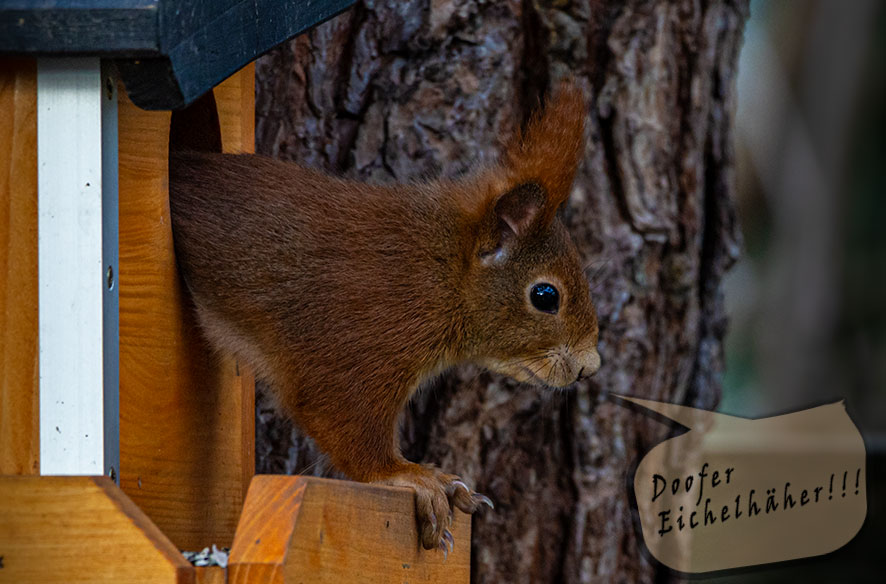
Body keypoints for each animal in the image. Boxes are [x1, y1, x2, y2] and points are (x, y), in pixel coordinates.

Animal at [169, 81, 604, 552]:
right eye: (545, 296)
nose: (590, 367)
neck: (440, 269)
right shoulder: (363, 336)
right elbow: (340, 416)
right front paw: (409, 476)